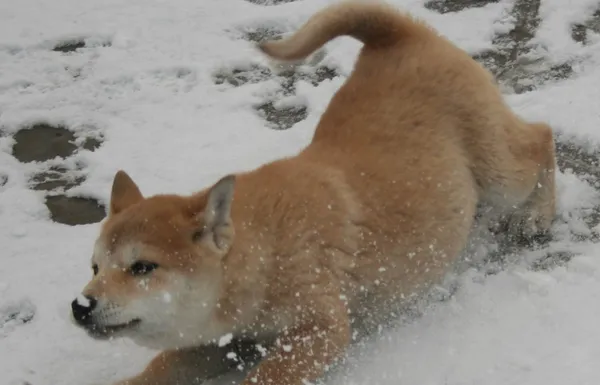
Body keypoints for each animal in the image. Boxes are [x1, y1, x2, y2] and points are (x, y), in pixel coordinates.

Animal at [71, 0, 556, 384]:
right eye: (95, 266)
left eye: (142, 267)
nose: (80, 305)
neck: (266, 249)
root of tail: (399, 35)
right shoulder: (221, 339)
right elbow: (161, 367)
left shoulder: (319, 328)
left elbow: (266, 376)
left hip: (498, 171)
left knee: (540, 139)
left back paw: (539, 212)